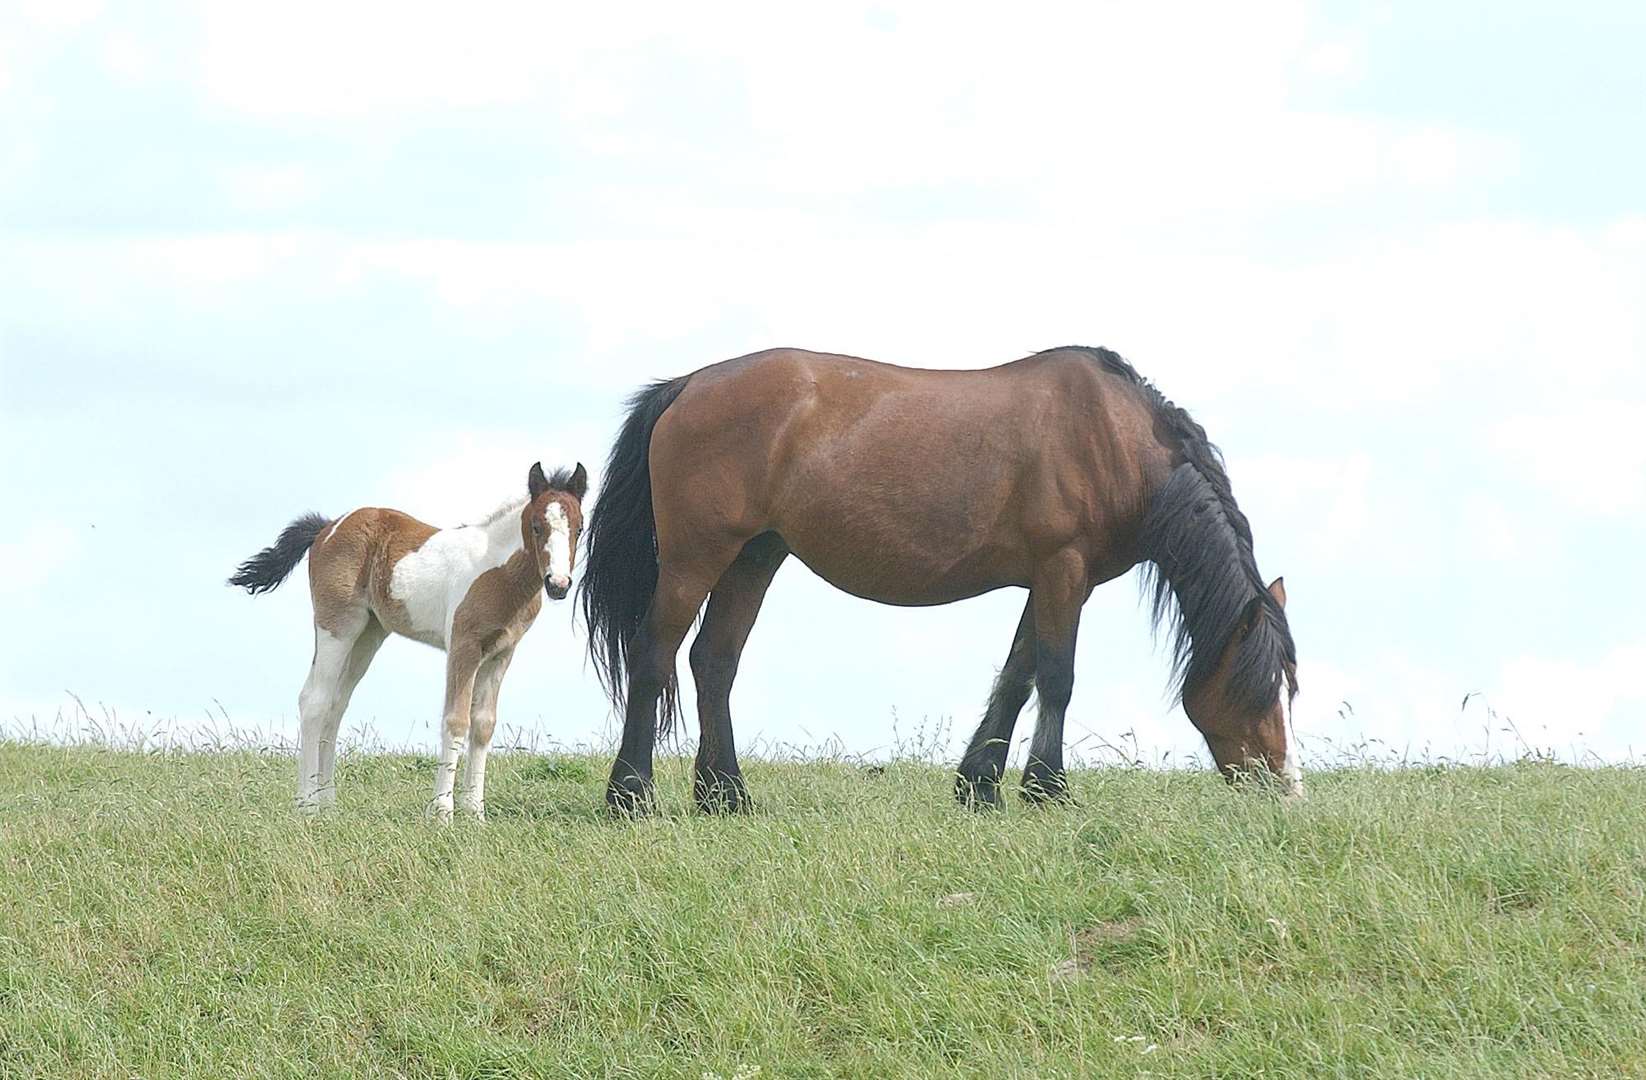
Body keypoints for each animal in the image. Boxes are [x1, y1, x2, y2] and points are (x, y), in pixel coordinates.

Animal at [228, 457, 589, 819]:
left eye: (579, 528)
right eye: (536, 526)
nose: (558, 584)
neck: (498, 572)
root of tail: (328, 527)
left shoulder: (502, 653)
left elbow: (483, 726)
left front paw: (476, 812)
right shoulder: (463, 647)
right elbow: (456, 721)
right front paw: (442, 811)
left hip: (368, 636)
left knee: (336, 705)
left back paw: (327, 802)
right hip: (337, 627)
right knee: (314, 700)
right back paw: (307, 804)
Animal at [579, 345, 1297, 810]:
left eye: (1291, 687)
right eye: (1260, 685)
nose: (1285, 791)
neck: (1111, 438)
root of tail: (687, 384)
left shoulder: (1049, 580)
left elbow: (1018, 676)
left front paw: (979, 785)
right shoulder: (1064, 569)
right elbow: (1057, 678)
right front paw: (1047, 789)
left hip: (754, 558)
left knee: (713, 661)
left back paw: (725, 796)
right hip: (695, 558)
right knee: (655, 655)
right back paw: (630, 794)